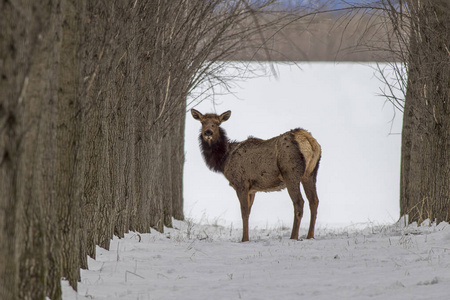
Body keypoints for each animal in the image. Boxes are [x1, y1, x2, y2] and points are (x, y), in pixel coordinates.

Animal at [192, 109, 322, 243]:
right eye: (202, 122)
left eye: (217, 123)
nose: (208, 132)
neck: (224, 160)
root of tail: (308, 140)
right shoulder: (252, 189)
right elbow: (249, 212)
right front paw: (246, 238)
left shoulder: (241, 183)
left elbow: (244, 212)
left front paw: (244, 239)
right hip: (310, 173)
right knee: (314, 201)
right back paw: (310, 236)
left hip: (291, 173)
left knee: (299, 202)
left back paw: (293, 237)